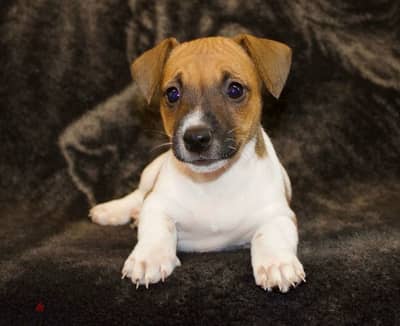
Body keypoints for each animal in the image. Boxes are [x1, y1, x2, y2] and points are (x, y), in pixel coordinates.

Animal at [90, 35, 306, 292]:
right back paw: (114, 210)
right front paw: (149, 257)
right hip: (150, 172)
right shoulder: (157, 204)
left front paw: (276, 262)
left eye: (235, 90)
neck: (213, 183)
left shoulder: (278, 214)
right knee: (138, 194)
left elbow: (271, 235)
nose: (195, 138)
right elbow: (158, 228)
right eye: (172, 94)